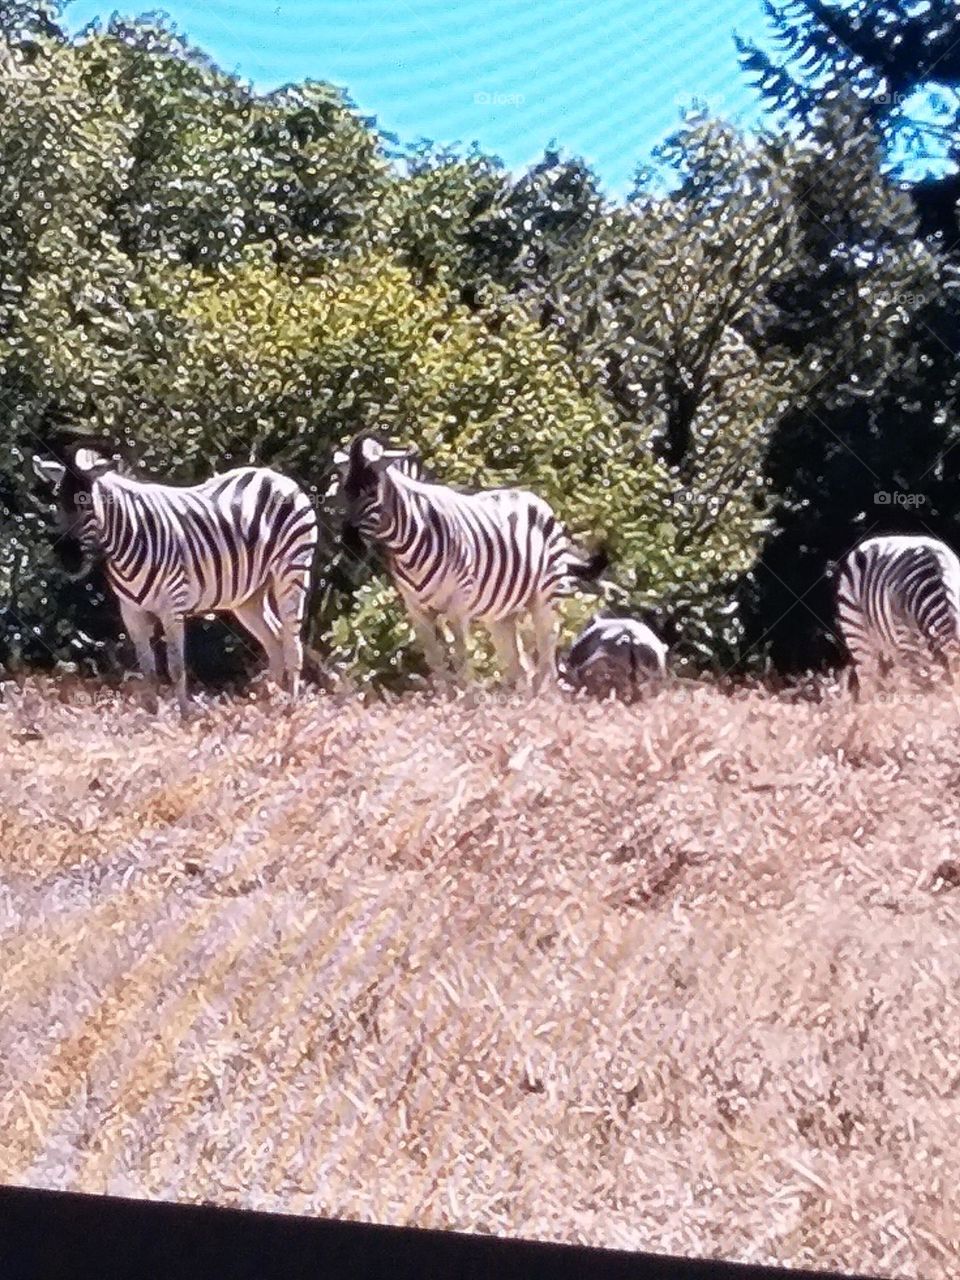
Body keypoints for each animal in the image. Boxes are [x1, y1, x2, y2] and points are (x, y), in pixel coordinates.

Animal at [32, 435, 320, 716]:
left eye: (88, 506)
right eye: (57, 503)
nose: (68, 559)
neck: (128, 541)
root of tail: (274, 475)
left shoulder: (173, 607)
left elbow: (176, 667)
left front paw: (184, 719)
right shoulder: (132, 613)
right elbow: (148, 671)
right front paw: (151, 720)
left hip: (292, 571)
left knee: (292, 642)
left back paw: (291, 710)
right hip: (248, 595)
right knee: (275, 639)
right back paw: (268, 707)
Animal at [330, 432, 609, 691]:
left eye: (372, 491)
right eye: (346, 492)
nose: (350, 544)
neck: (408, 543)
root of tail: (535, 499)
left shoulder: (458, 605)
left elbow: (462, 662)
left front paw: (467, 705)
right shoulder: (416, 610)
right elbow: (436, 663)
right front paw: (445, 703)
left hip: (545, 599)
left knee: (547, 666)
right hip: (501, 615)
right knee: (521, 670)